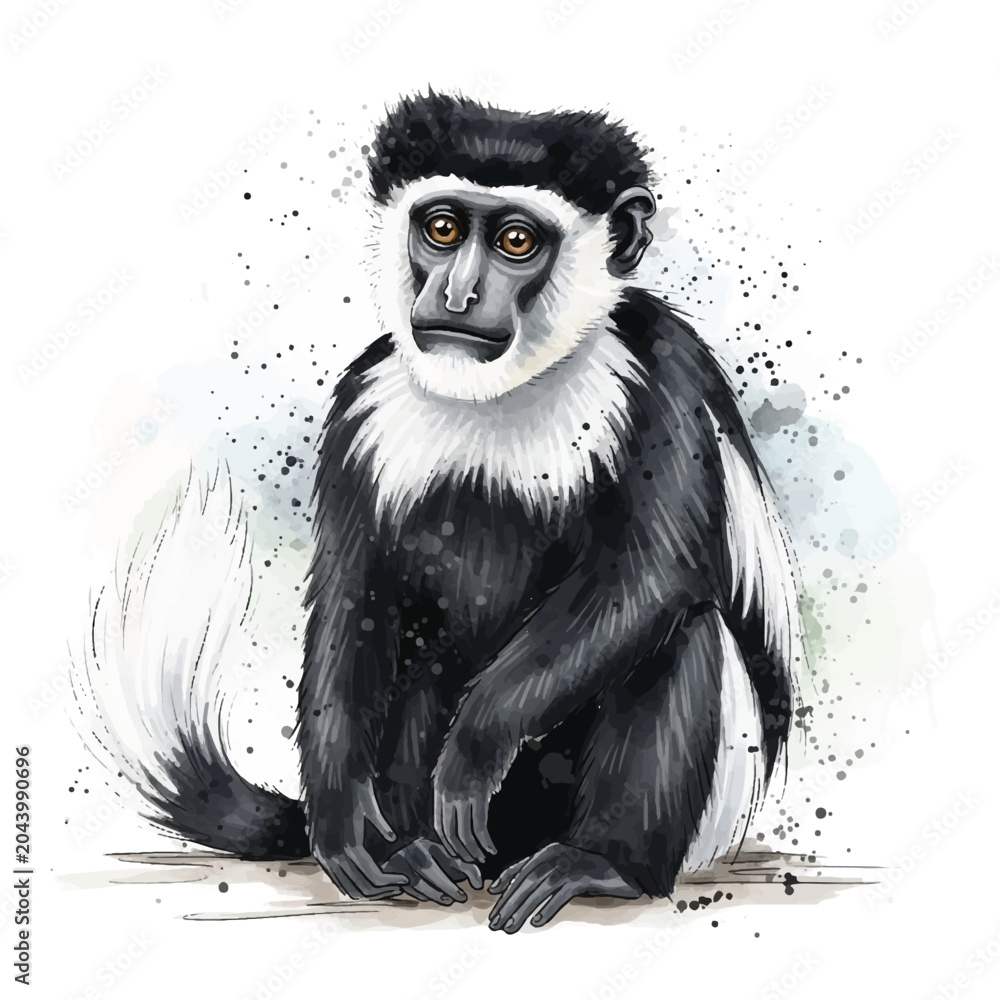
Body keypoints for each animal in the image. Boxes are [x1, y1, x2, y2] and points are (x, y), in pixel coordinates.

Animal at [78, 92, 800, 935]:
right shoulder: (364, 403)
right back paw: (411, 856)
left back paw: (599, 865)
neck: (507, 391)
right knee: (422, 646)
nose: (455, 295)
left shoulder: (657, 374)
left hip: (708, 808)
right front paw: (344, 830)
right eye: (444, 229)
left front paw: (472, 751)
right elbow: (353, 598)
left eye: (517, 240)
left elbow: (651, 569)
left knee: (680, 634)